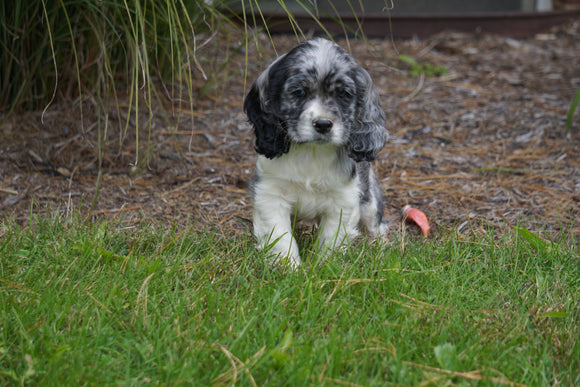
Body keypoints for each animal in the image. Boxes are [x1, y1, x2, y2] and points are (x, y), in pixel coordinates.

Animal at [242, 36, 388, 268]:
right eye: (299, 92)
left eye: (343, 94)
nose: (323, 124)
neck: (311, 153)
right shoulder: (271, 194)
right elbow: (281, 237)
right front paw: (289, 267)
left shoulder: (343, 200)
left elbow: (331, 239)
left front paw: (323, 266)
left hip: (369, 200)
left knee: (378, 227)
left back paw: (380, 250)